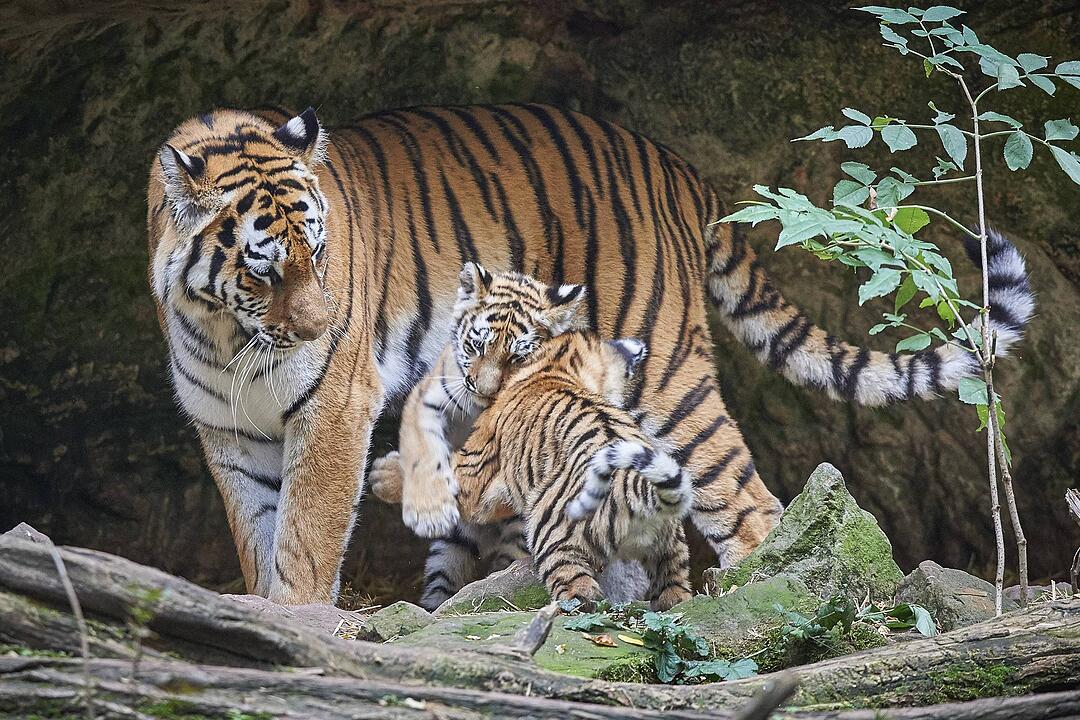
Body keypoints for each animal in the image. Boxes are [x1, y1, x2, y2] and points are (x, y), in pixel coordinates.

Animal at [452, 330, 694, 610]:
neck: (557, 365)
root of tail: (638, 487)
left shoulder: (474, 467)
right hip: (672, 549)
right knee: (675, 593)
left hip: (553, 535)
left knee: (580, 593)